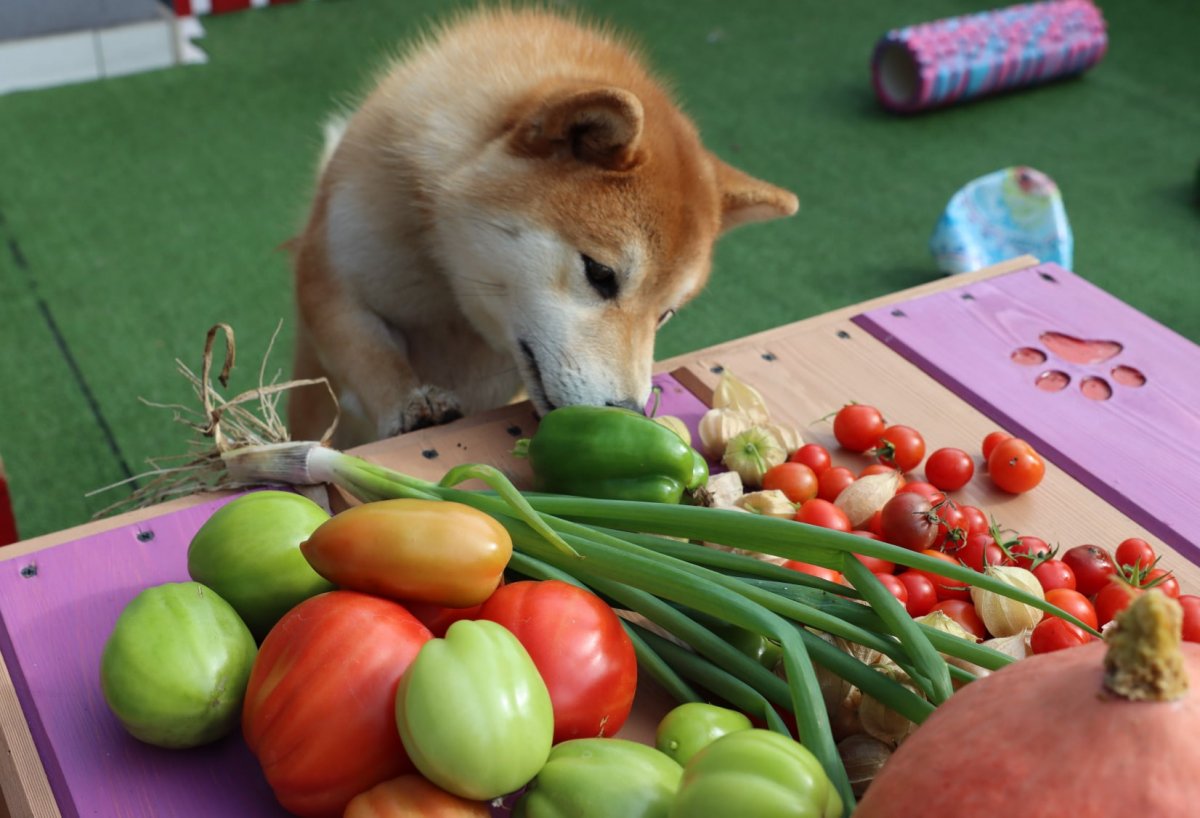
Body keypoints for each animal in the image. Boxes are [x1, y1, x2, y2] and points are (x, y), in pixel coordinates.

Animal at [287, 7, 798, 448]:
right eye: (600, 274)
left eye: (666, 314)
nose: (628, 412)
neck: (448, 289)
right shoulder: (331, 280)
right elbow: (370, 355)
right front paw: (413, 404)